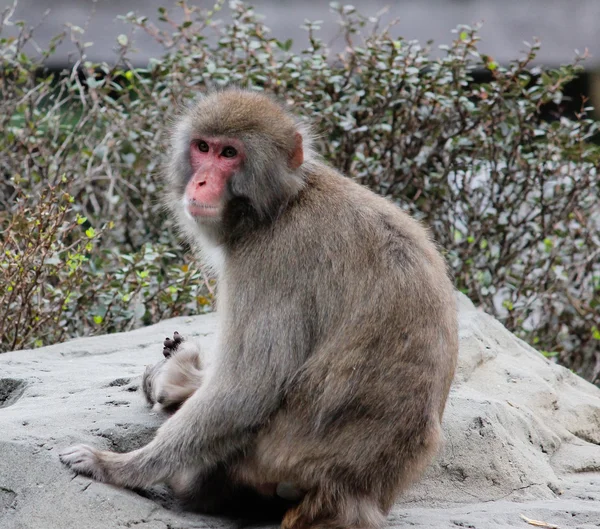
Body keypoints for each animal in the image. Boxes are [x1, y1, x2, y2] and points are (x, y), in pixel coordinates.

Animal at [58, 87, 458, 528]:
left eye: (229, 153)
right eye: (203, 148)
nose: (200, 181)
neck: (283, 203)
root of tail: (355, 495)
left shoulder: (271, 260)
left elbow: (248, 388)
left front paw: (119, 467)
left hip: (270, 465)